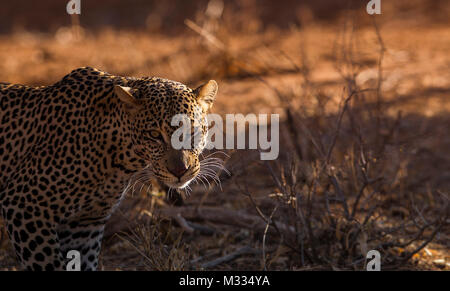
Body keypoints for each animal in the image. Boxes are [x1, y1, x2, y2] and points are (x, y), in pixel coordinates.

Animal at [0, 66, 218, 272]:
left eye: (193, 131)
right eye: (155, 135)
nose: (180, 171)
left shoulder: (84, 225)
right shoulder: (25, 206)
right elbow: (49, 264)